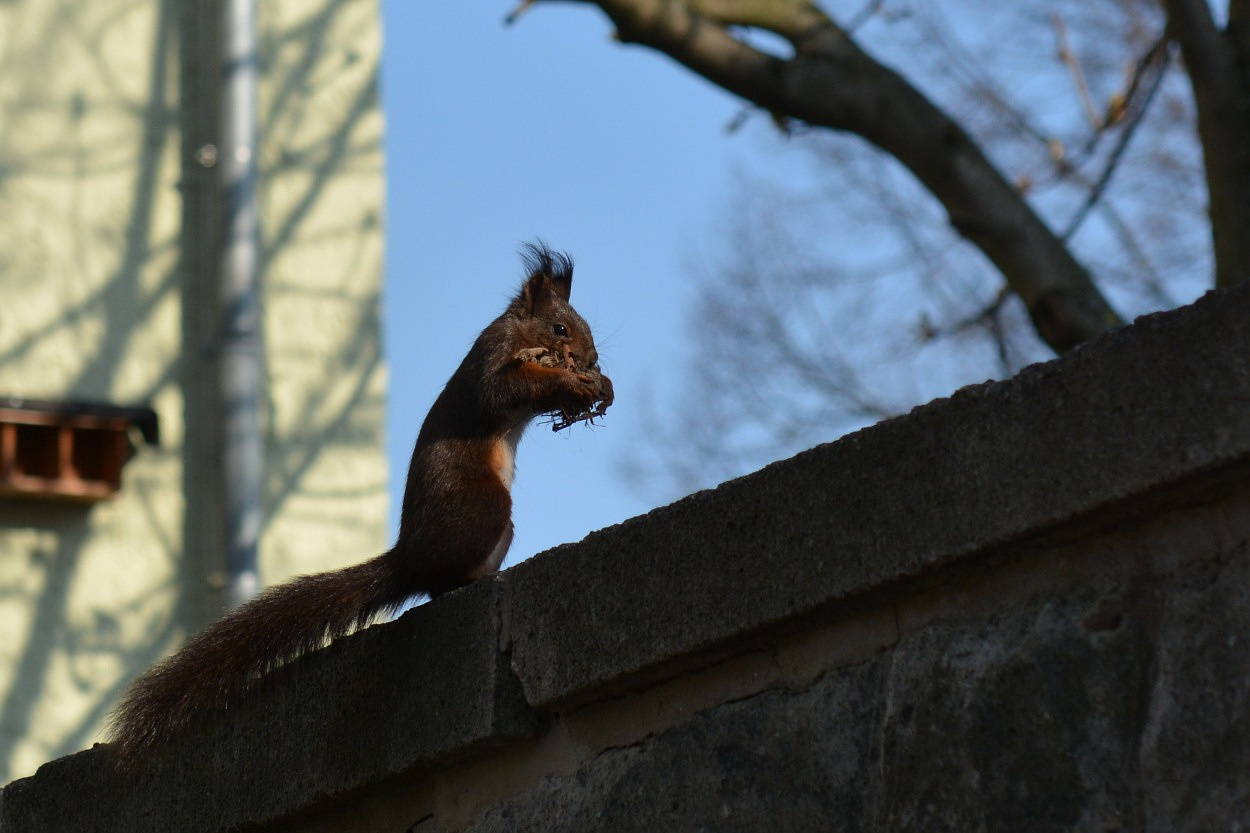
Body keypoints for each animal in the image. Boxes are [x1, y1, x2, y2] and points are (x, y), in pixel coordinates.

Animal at [107, 241, 615, 765]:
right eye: (560, 329)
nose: (592, 357)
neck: (518, 334)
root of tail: (409, 557)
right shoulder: (492, 358)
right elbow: (503, 389)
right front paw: (575, 383)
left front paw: (600, 385)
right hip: (485, 505)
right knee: (440, 582)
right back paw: (468, 582)